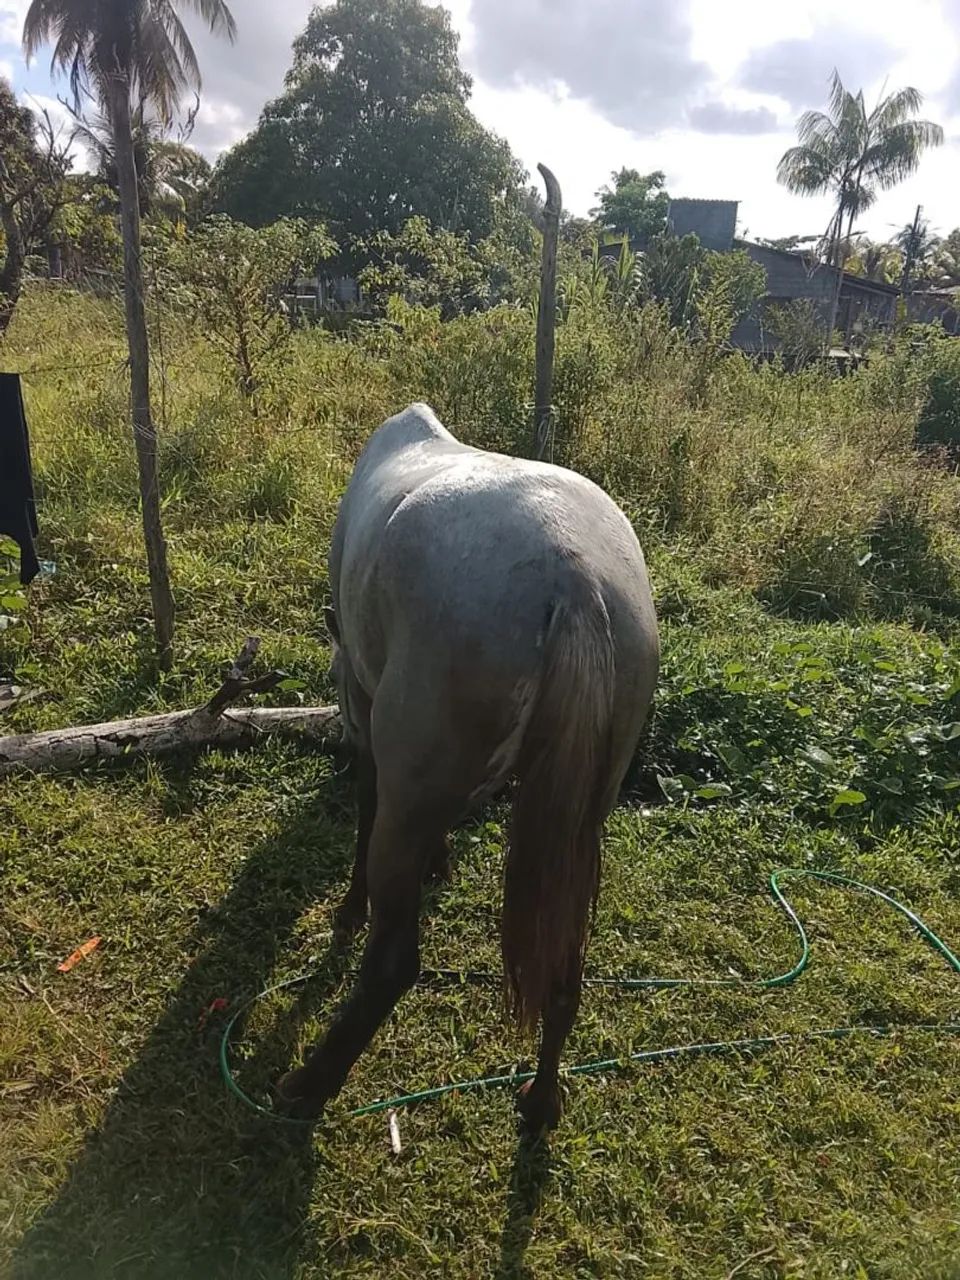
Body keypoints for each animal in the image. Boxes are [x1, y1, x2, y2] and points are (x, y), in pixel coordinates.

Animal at [277, 403, 659, 1130]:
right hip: (578, 826)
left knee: (393, 964)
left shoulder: (371, 725)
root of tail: (574, 579)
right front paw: (440, 860)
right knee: (565, 966)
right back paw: (541, 1100)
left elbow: (367, 806)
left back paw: (311, 1083)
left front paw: (351, 907)